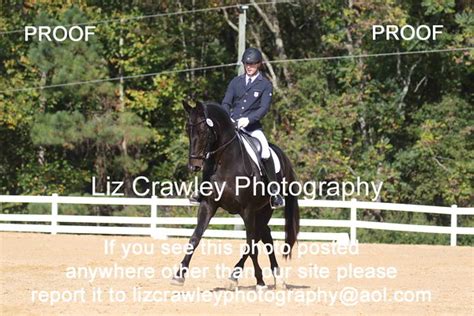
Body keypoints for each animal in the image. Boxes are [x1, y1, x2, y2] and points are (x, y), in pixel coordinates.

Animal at [172, 100, 300, 290]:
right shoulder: (208, 205)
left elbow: (250, 244)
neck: (225, 162)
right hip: (260, 212)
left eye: (204, 131)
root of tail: (280, 154)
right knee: (265, 236)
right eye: (188, 129)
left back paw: (268, 279)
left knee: (257, 238)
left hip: (265, 209)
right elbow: (195, 237)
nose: (193, 166)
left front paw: (238, 278)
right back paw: (272, 278)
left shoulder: (247, 210)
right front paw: (179, 275)